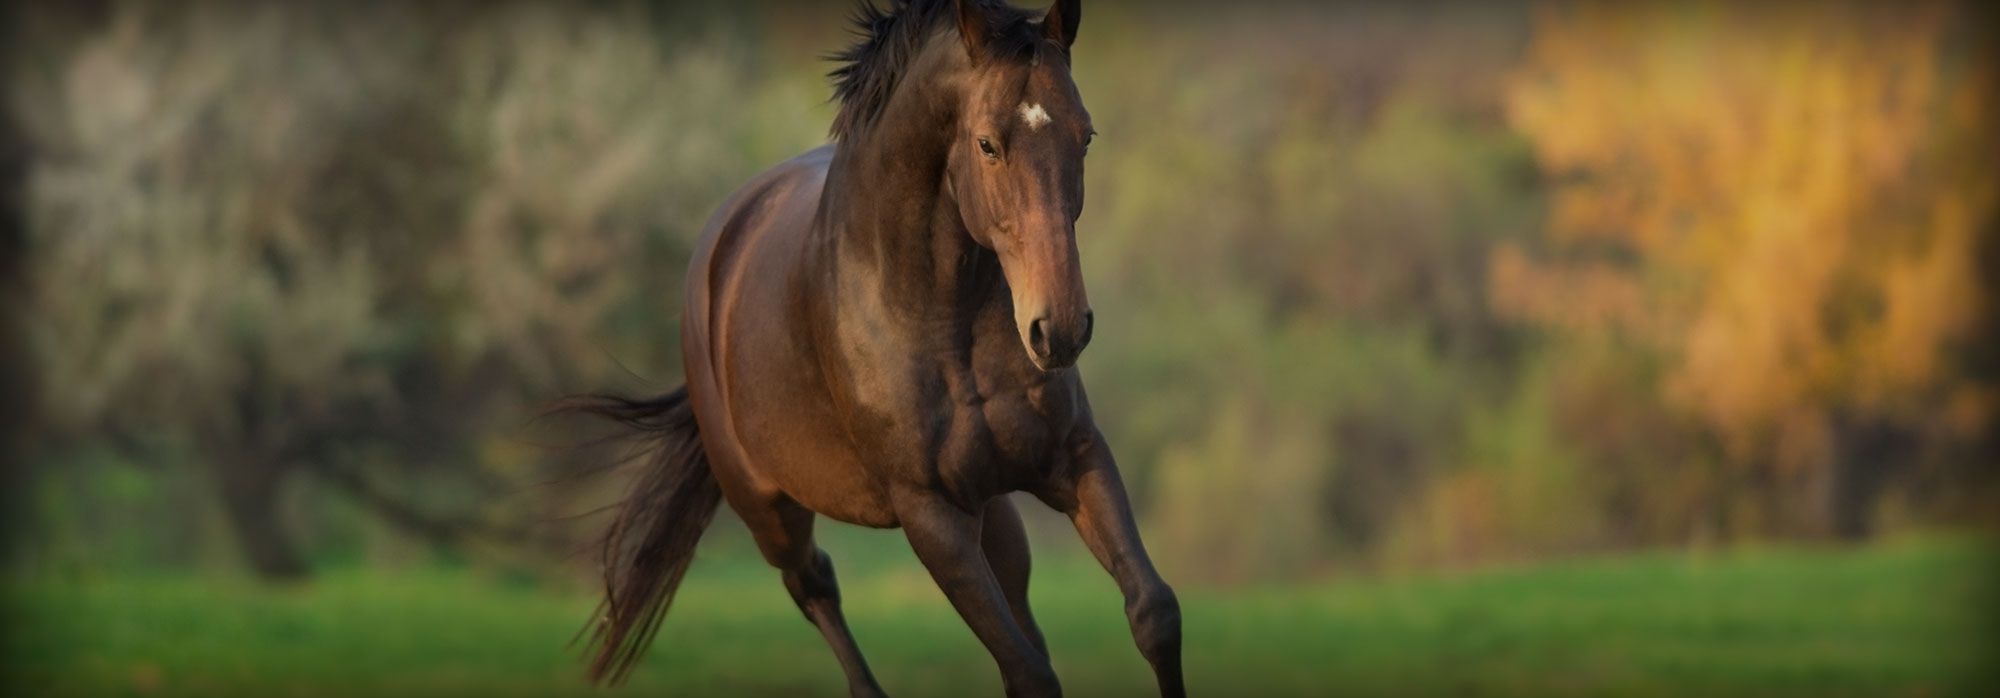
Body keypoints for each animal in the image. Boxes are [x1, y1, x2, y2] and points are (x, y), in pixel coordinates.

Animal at [556, 2, 1176, 692]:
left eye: (1085, 135)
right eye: (987, 143)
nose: (1060, 328)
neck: (940, 320)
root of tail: (720, 245)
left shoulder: (1075, 457)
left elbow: (1152, 613)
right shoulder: (930, 514)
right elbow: (1027, 670)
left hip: (991, 503)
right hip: (768, 509)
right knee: (815, 587)